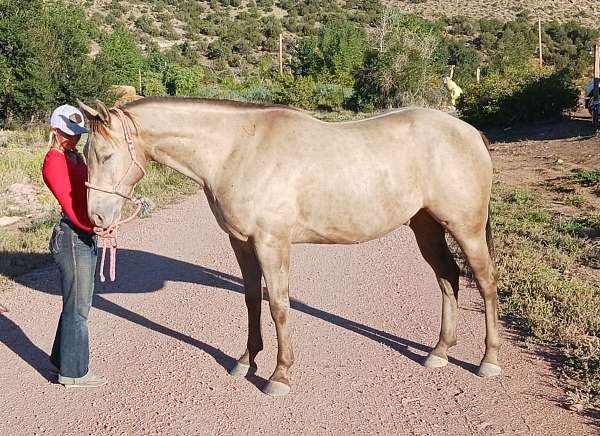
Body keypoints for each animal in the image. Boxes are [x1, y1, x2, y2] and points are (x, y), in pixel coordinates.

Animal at [79, 97, 502, 396]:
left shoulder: (272, 243)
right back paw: (439, 352)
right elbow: (252, 300)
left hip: (466, 228)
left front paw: (279, 375)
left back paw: (488, 360)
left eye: (106, 154)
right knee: (448, 278)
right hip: (426, 226)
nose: (96, 217)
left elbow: (279, 306)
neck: (238, 150)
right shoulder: (241, 243)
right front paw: (246, 360)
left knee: (484, 282)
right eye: (85, 154)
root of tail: (470, 132)